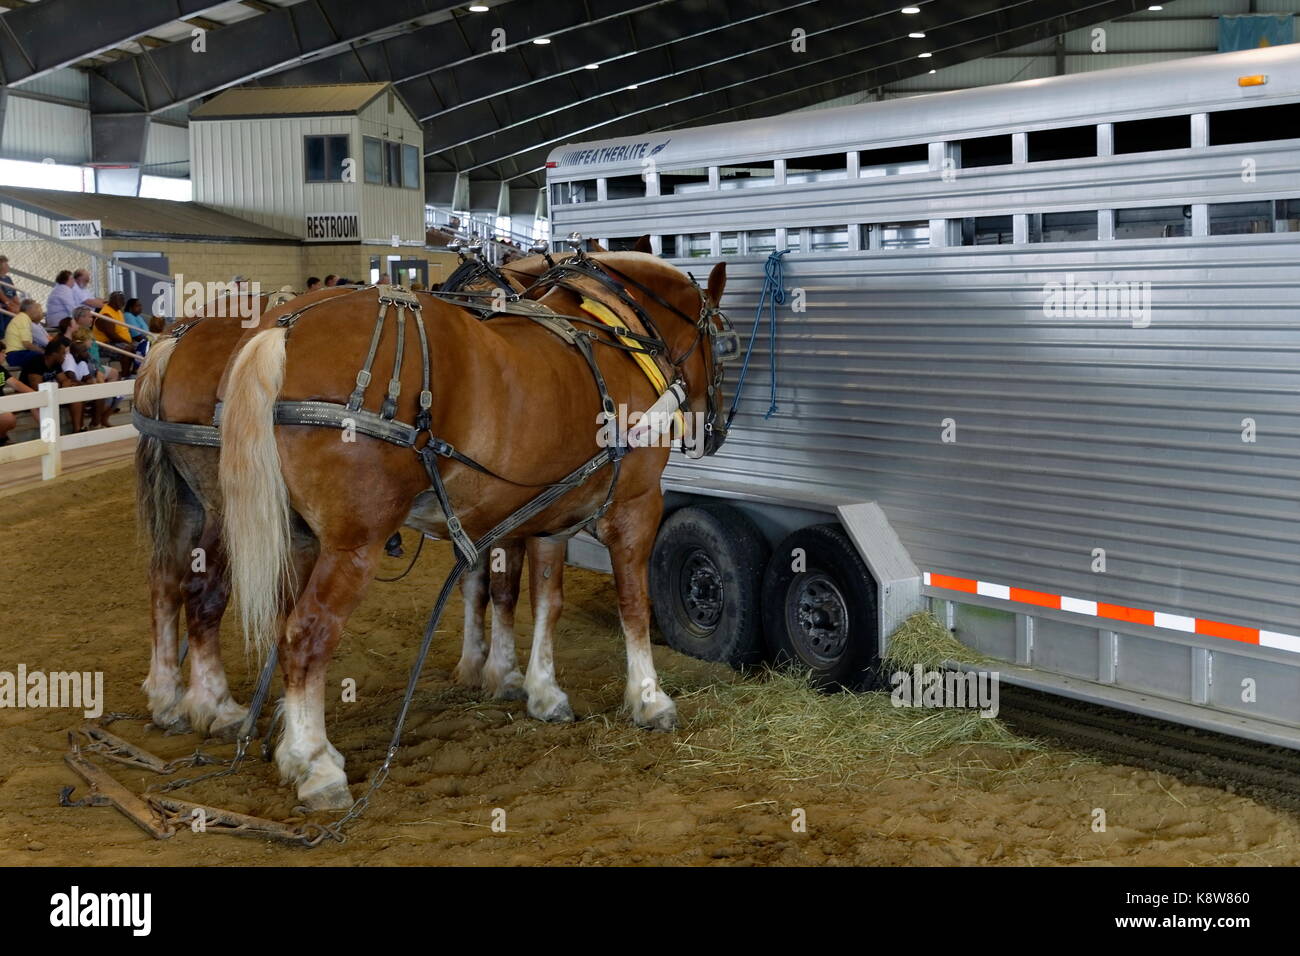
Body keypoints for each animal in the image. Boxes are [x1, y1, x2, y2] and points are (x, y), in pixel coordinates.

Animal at [217, 250, 732, 809]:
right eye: (724, 338)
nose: (714, 430)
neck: (614, 331)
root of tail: (284, 327)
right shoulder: (636, 507)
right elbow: (633, 604)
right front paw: (649, 698)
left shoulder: (550, 518)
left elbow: (544, 602)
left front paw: (542, 691)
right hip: (354, 543)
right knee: (306, 636)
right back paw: (316, 766)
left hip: (301, 537)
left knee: (282, 627)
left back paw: (296, 752)